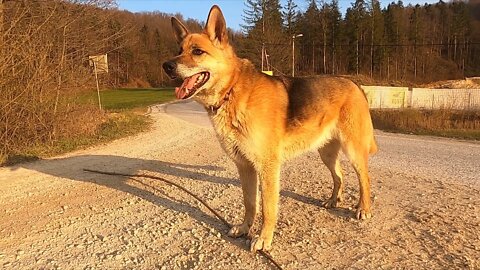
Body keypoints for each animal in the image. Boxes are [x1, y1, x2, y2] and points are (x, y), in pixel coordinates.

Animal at [163, 5, 376, 252]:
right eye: (179, 50)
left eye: (197, 51)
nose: (166, 66)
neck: (232, 92)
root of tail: (355, 84)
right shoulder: (244, 167)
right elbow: (249, 203)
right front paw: (245, 228)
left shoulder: (267, 167)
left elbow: (267, 207)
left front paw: (264, 238)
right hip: (326, 152)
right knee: (339, 176)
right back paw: (333, 200)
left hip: (353, 150)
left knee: (364, 179)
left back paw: (363, 208)